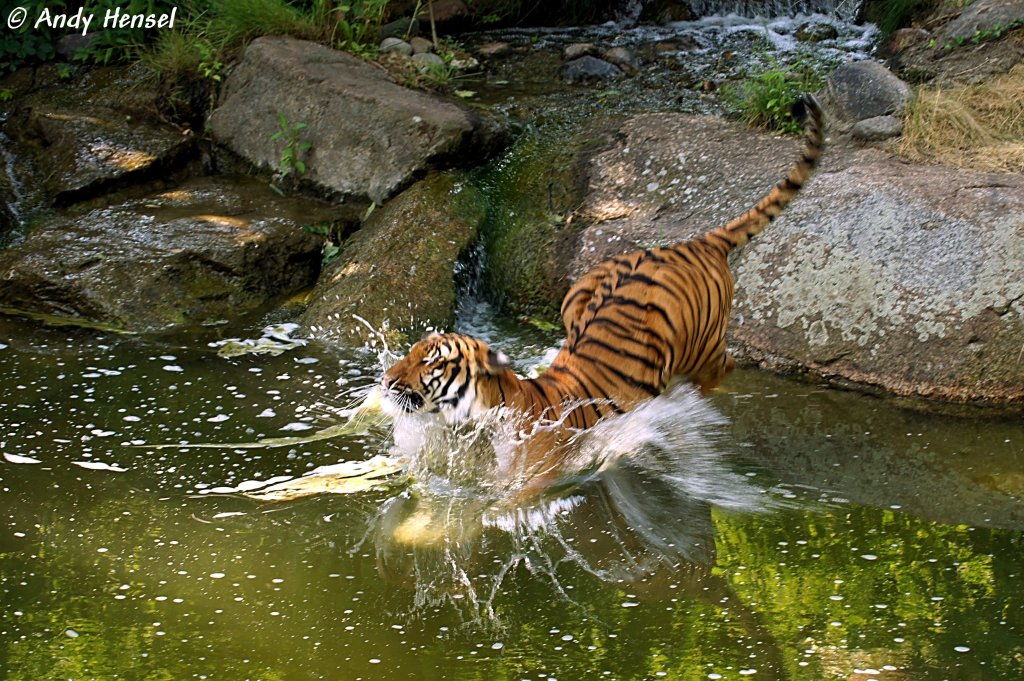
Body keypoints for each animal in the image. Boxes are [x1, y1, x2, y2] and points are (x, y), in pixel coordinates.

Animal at [382, 95, 823, 454]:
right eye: (409, 353)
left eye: (430, 363)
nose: (386, 380)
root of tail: (695, 242)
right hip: (576, 295)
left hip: (701, 345)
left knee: (722, 366)